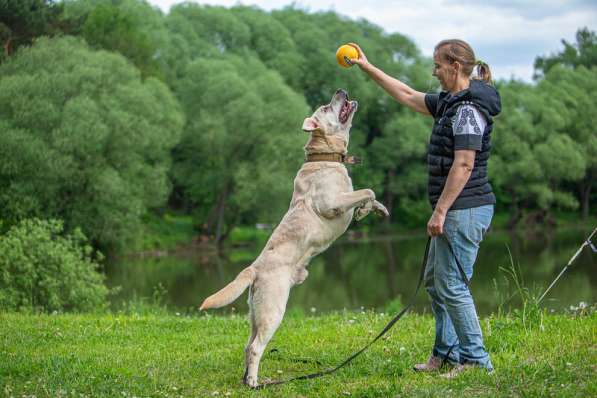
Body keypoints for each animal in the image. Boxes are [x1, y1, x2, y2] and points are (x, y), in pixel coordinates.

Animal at [198, 88, 388, 388]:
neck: (325, 157)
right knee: (255, 347)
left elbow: (369, 195)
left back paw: (247, 379)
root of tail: (253, 268)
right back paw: (255, 382)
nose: (341, 91)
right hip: (273, 309)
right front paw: (364, 209)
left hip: (256, 313)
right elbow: (367, 190)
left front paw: (373, 210)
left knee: (247, 345)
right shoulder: (331, 202)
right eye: (327, 106)